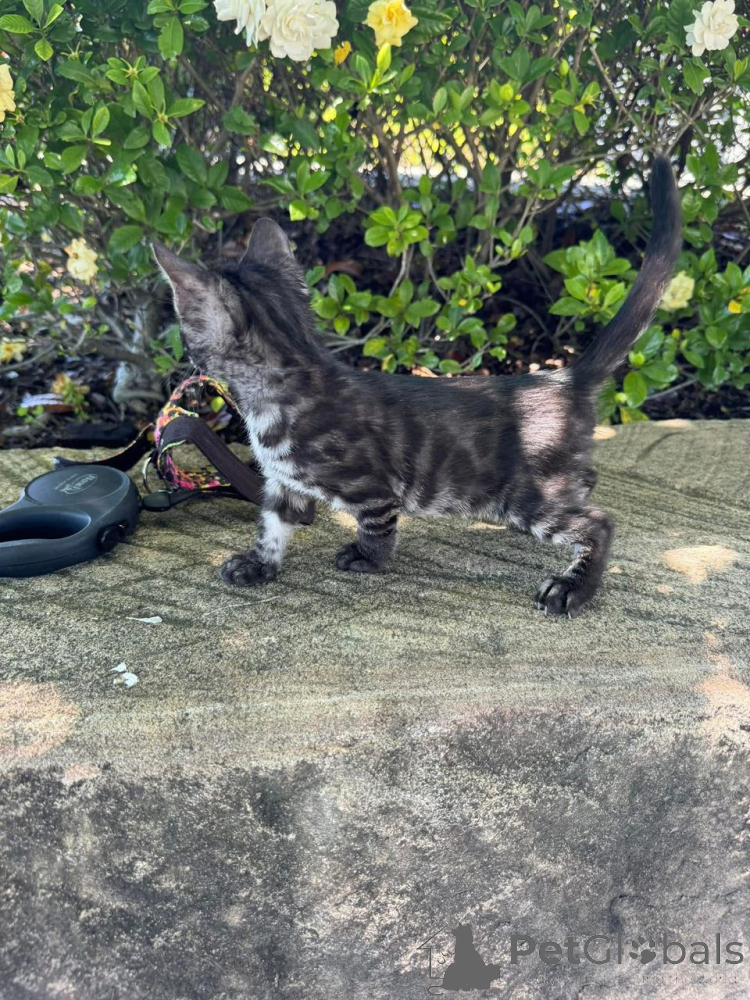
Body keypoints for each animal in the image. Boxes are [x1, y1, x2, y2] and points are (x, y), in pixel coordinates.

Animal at [153, 155, 681, 617]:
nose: (178, 358)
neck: (285, 389)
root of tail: (563, 376)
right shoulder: (283, 484)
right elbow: (272, 526)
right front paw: (258, 564)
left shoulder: (373, 490)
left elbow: (378, 528)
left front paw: (366, 559)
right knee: (583, 485)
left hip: (522, 493)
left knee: (597, 524)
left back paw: (573, 587)